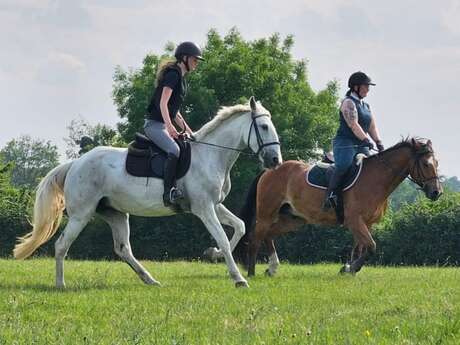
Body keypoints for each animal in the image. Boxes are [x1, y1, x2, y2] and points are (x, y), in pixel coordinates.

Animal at [13, 97, 280, 288]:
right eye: (264, 127)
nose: (275, 160)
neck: (211, 155)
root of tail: (75, 164)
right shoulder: (204, 208)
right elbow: (223, 238)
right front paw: (238, 278)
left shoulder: (214, 205)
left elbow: (239, 227)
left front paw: (213, 255)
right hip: (82, 214)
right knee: (61, 245)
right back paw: (60, 284)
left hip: (115, 213)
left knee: (123, 249)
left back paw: (149, 279)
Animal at [235, 138, 444, 276]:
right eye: (426, 164)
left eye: (437, 162)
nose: (437, 192)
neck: (376, 178)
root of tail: (268, 171)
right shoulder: (355, 221)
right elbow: (371, 246)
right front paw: (351, 268)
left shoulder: (366, 223)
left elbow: (360, 248)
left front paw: (348, 268)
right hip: (267, 213)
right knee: (256, 237)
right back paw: (252, 272)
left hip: (293, 219)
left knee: (268, 235)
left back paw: (272, 268)